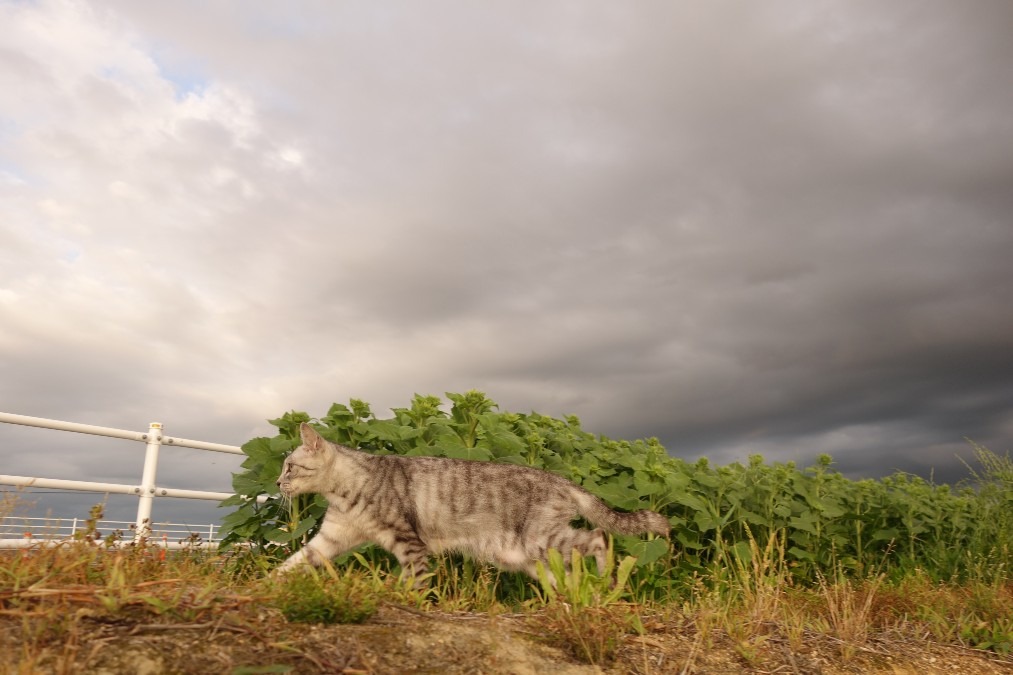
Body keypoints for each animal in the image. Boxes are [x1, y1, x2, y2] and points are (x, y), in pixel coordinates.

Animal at [273, 421, 668, 579]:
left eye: (289, 467)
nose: (277, 482)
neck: (343, 492)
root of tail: (561, 478)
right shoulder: (330, 538)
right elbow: (293, 562)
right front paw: (264, 586)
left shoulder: (410, 544)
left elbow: (414, 583)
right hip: (531, 556)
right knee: (568, 574)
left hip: (542, 538)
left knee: (599, 537)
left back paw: (605, 580)